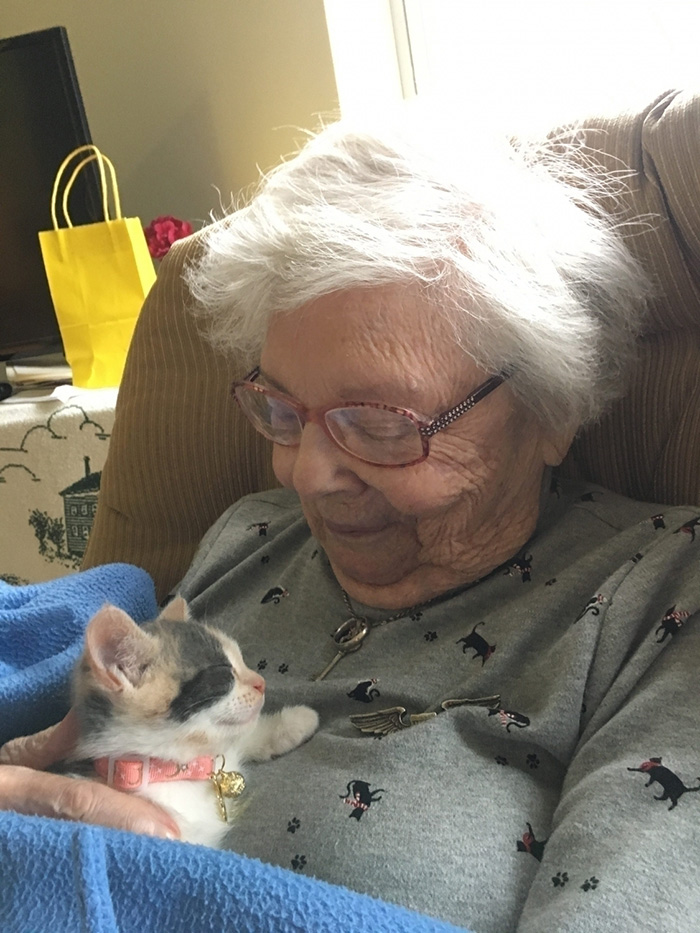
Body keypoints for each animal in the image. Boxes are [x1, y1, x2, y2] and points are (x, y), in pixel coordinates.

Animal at [67, 596, 318, 844]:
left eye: (241, 660)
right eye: (223, 672)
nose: (261, 682)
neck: (189, 768)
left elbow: (245, 735)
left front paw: (297, 721)